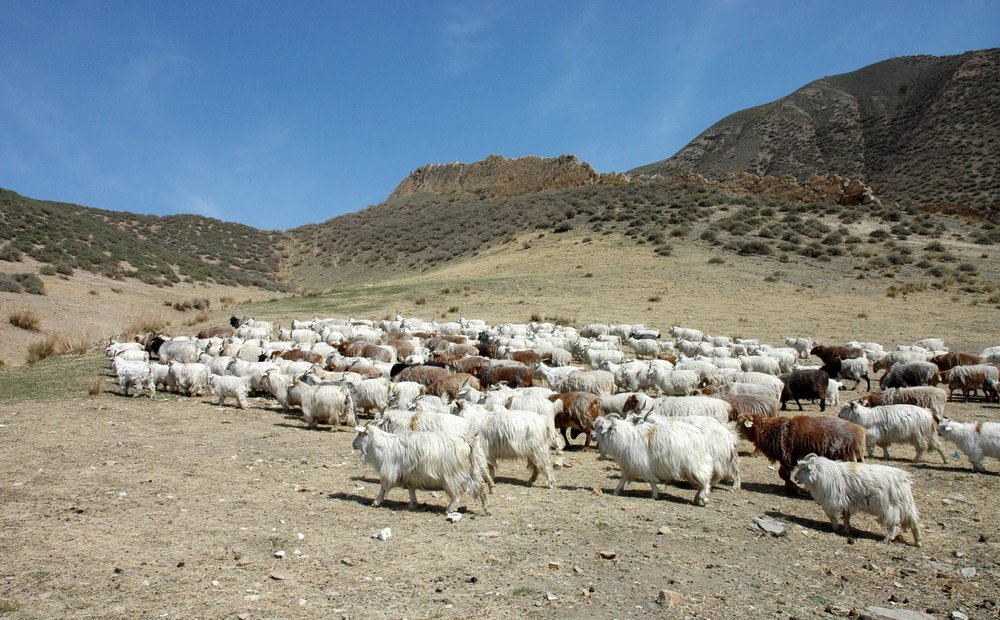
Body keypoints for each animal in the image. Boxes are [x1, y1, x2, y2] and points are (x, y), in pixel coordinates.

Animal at [352, 424, 492, 516]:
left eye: (359, 434)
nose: (353, 444)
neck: (382, 446)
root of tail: (467, 441)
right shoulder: (409, 475)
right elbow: (411, 489)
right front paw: (412, 503)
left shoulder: (389, 472)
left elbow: (383, 488)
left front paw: (376, 501)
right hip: (473, 472)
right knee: (481, 488)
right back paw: (487, 510)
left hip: (452, 475)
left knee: (456, 495)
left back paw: (449, 509)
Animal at [588, 414, 716, 506]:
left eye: (601, 427)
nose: (592, 436)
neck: (625, 438)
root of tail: (701, 436)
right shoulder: (628, 465)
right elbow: (623, 479)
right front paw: (616, 491)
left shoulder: (642, 465)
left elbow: (651, 481)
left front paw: (654, 495)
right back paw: (697, 498)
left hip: (695, 465)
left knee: (705, 482)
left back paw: (702, 499)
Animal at [736, 412, 868, 494]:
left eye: (739, 423)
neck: (770, 431)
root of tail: (860, 433)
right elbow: (784, 475)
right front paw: (789, 488)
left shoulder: (787, 457)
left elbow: (783, 474)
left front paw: (794, 488)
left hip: (844, 456)